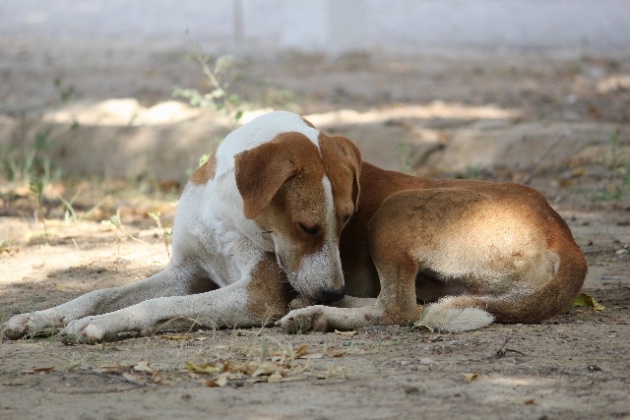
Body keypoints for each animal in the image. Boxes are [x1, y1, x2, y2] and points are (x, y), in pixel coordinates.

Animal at [2, 110, 592, 342]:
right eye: (310, 228)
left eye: (346, 221)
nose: (329, 286)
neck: (227, 215)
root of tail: (563, 232)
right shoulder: (184, 271)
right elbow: (99, 292)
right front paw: (42, 317)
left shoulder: (256, 293)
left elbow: (151, 307)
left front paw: (99, 327)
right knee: (407, 304)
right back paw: (323, 308)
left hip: (397, 212)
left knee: (399, 310)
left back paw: (320, 313)